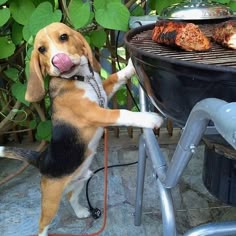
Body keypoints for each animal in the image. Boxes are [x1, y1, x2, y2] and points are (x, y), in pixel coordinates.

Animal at [0, 22, 163, 236]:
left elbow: (116, 76)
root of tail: (41, 158)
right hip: (51, 199)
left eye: (63, 36)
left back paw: (81, 212)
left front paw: (129, 67)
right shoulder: (95, 112)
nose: (58, 60)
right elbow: (123, 112)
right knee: (43, 223)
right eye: (41, 49)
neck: (81, 78)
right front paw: (150, 119)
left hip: (82, 177)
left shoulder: (104, 90)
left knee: (71, 196)